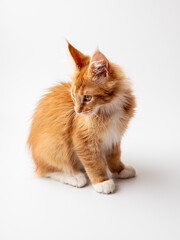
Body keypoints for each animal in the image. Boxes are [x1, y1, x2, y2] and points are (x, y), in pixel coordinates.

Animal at [27, 42, 136, 194]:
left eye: (87, 97)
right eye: (73, 95)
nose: (77, 111)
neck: (108, 108)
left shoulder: (114, 136)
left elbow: (115, 155)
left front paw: (120, 170)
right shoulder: (83, 140)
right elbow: (93, 162)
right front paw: (102, 181)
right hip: (54, 144)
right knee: (46, 170)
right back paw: (74, 176)